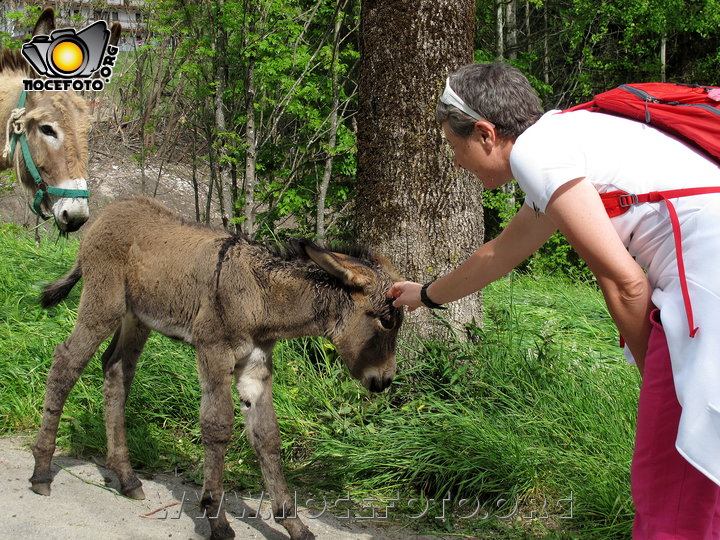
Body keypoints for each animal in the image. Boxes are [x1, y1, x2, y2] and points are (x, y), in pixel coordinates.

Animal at [31, 196, 402, 536]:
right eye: (386, 321)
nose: (384, 381)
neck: (261, 297)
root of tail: (109, 210)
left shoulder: (255, 366)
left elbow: (267, 435)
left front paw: (293, 523)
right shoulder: (214, 352)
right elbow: (217, 425)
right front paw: (217, 518)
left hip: (136, 317)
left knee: (116, 370)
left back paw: (127, 478)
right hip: (103, 303)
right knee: (66, 363)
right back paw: (41, 472)